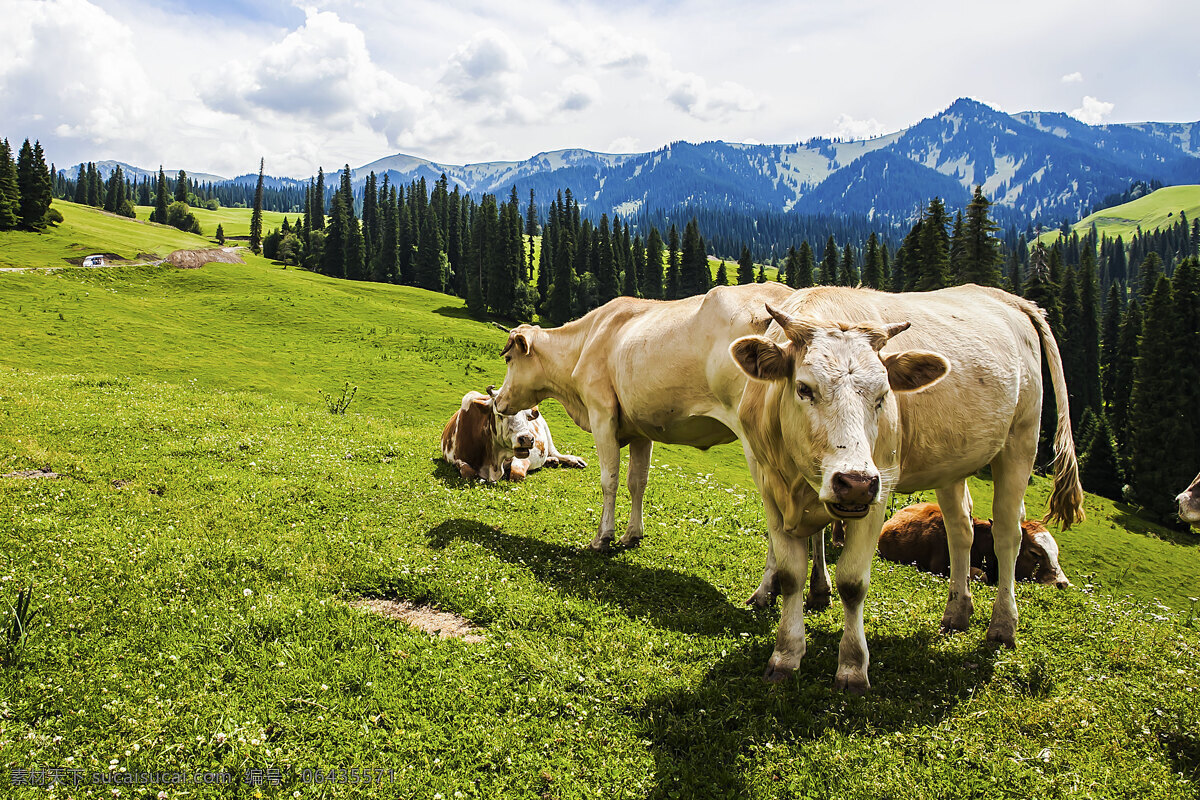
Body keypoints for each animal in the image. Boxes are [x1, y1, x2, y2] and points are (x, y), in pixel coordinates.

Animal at [444, 388, 588, 482]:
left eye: (527, 417)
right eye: (500, 414)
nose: (527, 439)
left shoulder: (522, 458)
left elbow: (517, 474)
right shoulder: (457, 459)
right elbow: (469, 473)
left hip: (547, 433)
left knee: (556, 453)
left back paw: (574, 461)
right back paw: (551, 461)